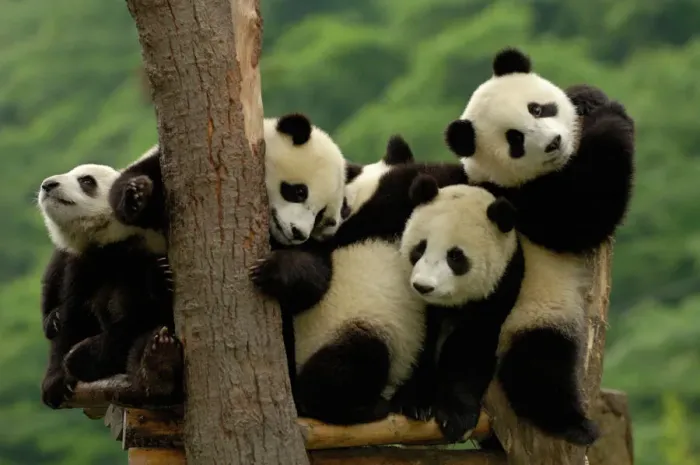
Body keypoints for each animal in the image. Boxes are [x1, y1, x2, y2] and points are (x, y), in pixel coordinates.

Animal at [38, 163, 181, 408]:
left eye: (86, 180)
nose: (48, 184)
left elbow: (136, 315)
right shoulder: (83, 265)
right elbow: (73, 315)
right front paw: (56, 381)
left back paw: (157, 366)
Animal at [395, 175, 525, 442]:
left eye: (455, 256)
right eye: (419, 248)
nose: (423, 286)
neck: (448, 305)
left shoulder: (499, 292)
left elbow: (471, 349)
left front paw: (455, 418)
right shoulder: (422, 308)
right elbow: (420, 341)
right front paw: (414, 402)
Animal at [441, 47, 635, 445]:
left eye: (537, 108)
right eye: (514, 139)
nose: (553, 143)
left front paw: (588, 98)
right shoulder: (520, 201)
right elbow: (584, 213)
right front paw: (612, 117)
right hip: (529, 314)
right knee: (538, 367)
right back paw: (573, 424)